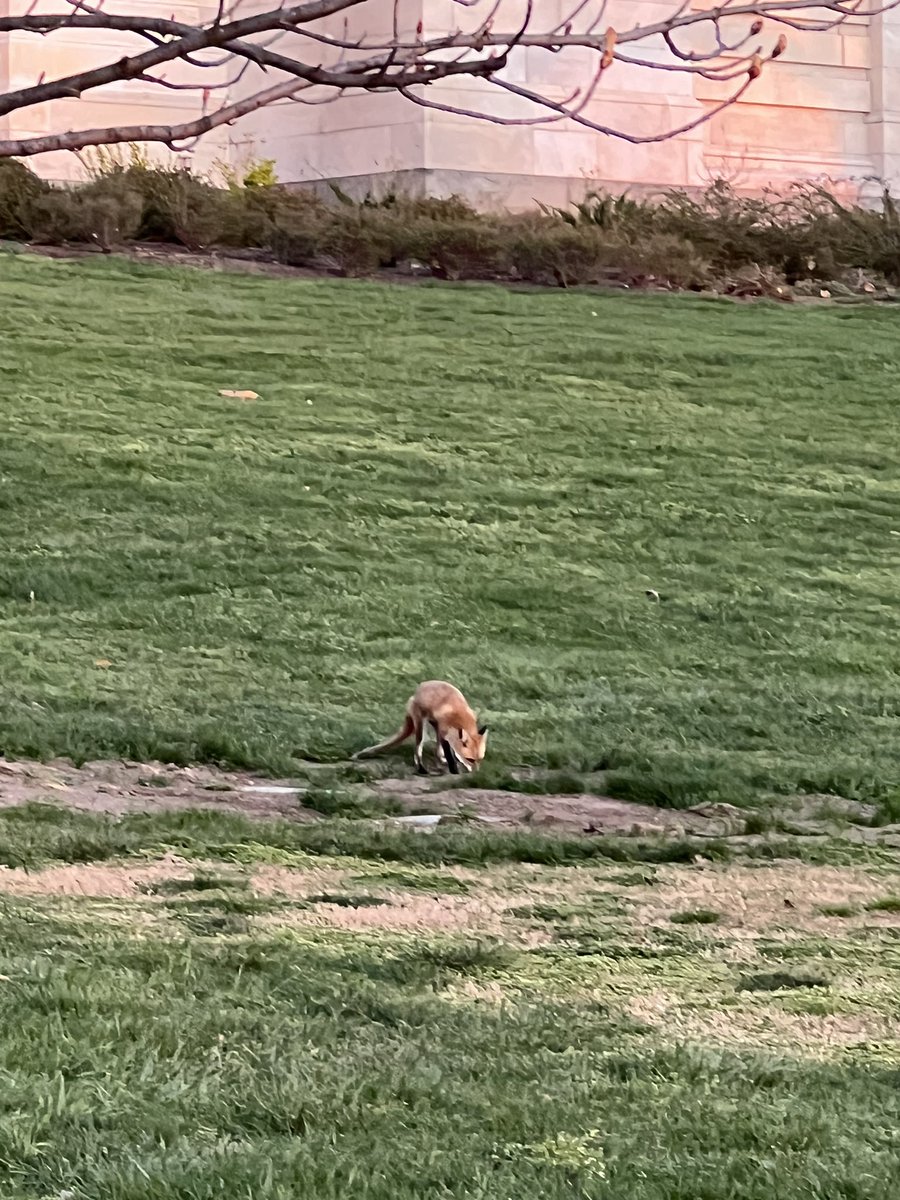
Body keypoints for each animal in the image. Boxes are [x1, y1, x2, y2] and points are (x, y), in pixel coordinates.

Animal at [352, 680, 488, 775]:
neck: (459, 717)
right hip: (421, 727)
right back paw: (421, 769)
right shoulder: (444, 733)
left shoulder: (445, 733)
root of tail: (418, 689)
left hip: (434, 725)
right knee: (418, 748)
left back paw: (440, 759)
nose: (476, 774)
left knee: (436, 748)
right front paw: (454, 770)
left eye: (480, 759)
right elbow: (450, 756)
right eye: (470, 759)